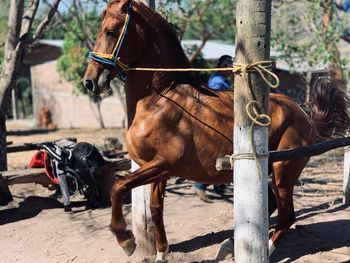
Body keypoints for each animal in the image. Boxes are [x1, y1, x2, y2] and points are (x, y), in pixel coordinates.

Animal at [83, 1, 348, 262]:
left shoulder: (164, 164)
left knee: (286, 217)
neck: (159, 101)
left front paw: (125, 240)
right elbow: (155, 208)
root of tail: (305, 116)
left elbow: (118, 187)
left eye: (110, 31)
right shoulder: (156, 169)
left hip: (284, 172)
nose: (90, 81)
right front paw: (161, 253)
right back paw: (229, 245)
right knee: (274, 208)